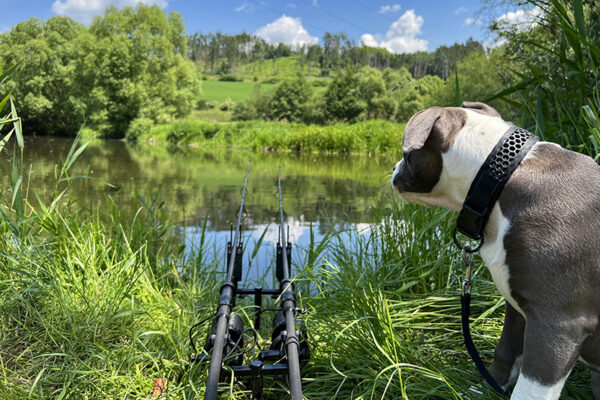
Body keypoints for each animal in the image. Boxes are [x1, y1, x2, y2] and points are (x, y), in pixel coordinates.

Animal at [392, 101, 596, 398]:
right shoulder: (517, 310)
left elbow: (528, 390)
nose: (393, 168)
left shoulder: (555, 327)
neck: (500, 178)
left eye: (406, 155)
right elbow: (504, 352)